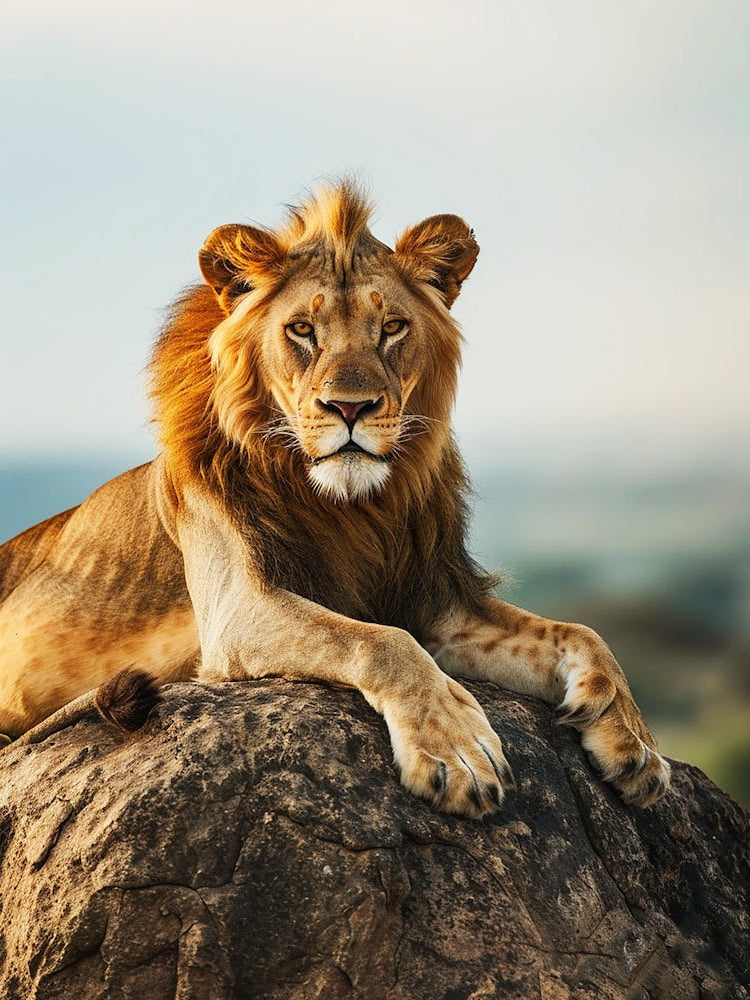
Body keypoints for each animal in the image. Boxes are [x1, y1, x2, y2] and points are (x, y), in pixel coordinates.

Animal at [0, 182, 670, 815]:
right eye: (302, 329)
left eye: (392, 327)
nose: (350, 409)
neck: (353, 508)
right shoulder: (239, 607)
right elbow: (379, 641)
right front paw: (456, 751)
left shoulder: (436, 602)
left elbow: (582, 633)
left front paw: (633, 741)